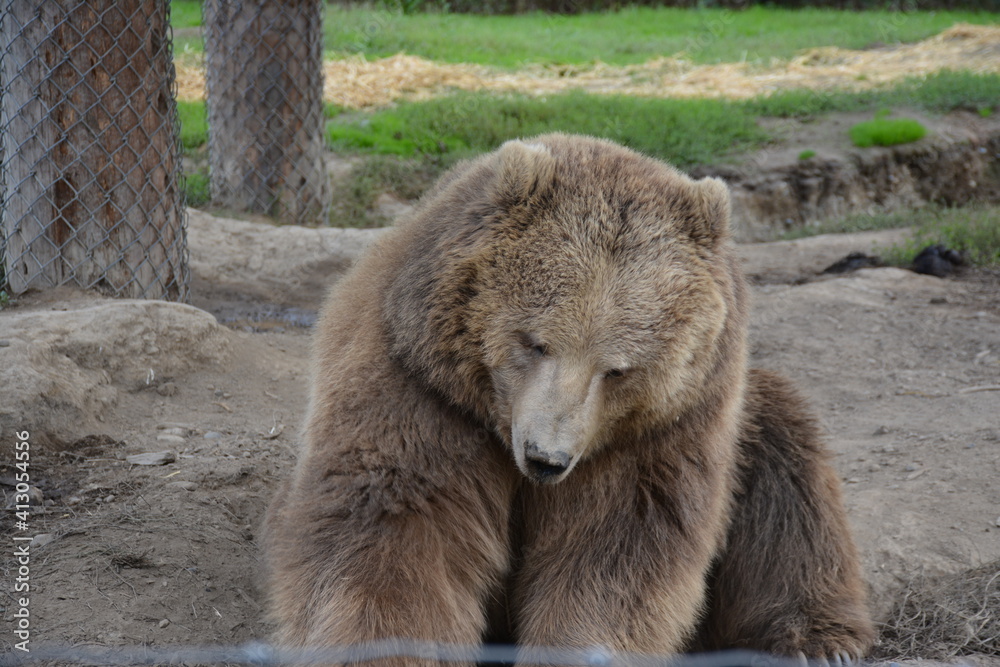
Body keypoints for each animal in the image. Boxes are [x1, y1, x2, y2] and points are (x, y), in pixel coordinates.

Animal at [262, 133, 874, 664]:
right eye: (535, 342)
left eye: (618, 370)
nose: (545, 458)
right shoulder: (422, 391)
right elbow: (394, 530)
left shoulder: (652, 436)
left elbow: (613, 558)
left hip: (741, 418)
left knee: (787, 473)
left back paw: (818, 640)